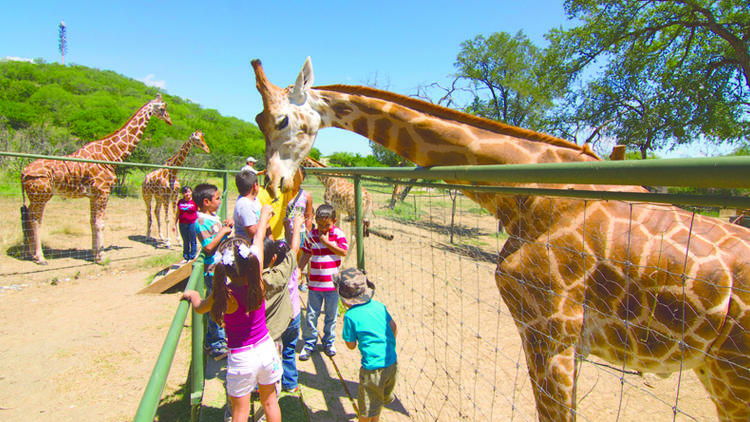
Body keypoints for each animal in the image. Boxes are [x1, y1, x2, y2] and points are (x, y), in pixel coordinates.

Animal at [20, 95, 175, 264]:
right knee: (35, 220)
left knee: (27, 217)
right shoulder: (103, 191)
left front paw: (94, 254)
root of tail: (23, 172)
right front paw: (101, 256)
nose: (169, 120)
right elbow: (100, 223)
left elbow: (92, 222)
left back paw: (31, 253)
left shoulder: (94, 195)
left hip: (35, 197)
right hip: (42, 196)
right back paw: (40, 257)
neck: (112, 154)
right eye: (162, 108)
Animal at [251, 58, 750, 422]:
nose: (273, 182)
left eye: (281, 119)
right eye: (257, 120)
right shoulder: (558, 339)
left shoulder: (551, 331)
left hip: (732, 378)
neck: (529, 196)